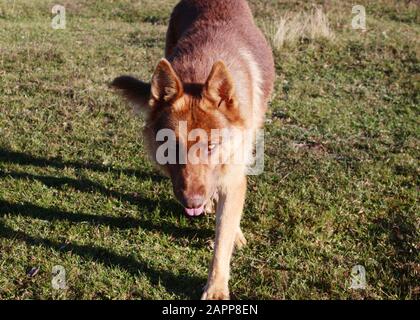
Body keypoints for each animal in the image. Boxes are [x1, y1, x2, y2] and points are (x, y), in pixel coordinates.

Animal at [112, 0, 276, 300]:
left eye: (211, 146)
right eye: (170, 147)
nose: (191, 203)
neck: (198, 74)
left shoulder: (233, 177)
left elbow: (222, 239)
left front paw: (216, 287)